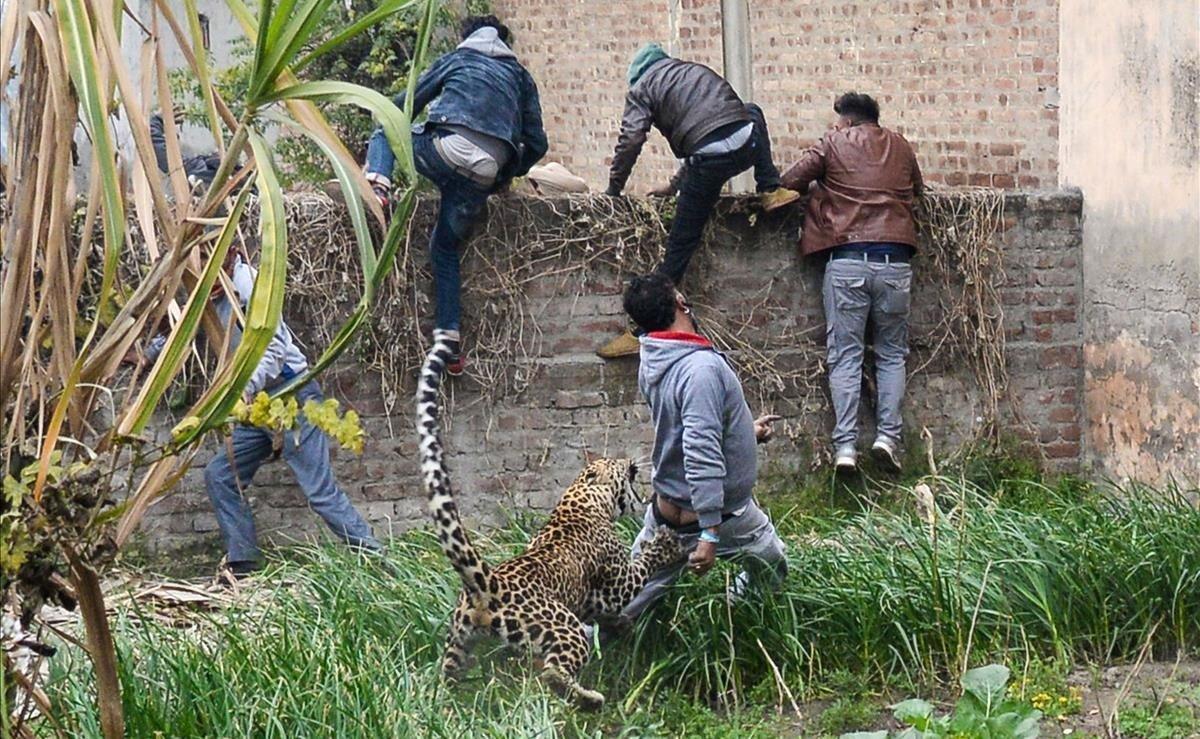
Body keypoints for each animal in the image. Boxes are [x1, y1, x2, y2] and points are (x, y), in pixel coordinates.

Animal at [420, 331, 686, 710]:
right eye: (615, 461)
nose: (630, 460)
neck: (581, 498)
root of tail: (488, 584)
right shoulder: (618, 580)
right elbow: (641, 566)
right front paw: (665, 545)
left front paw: (622, 624)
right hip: (563, 626)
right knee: (552, 672)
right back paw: (588, 699)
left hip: (458, 640)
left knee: (447, 675)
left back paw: (444, 703)